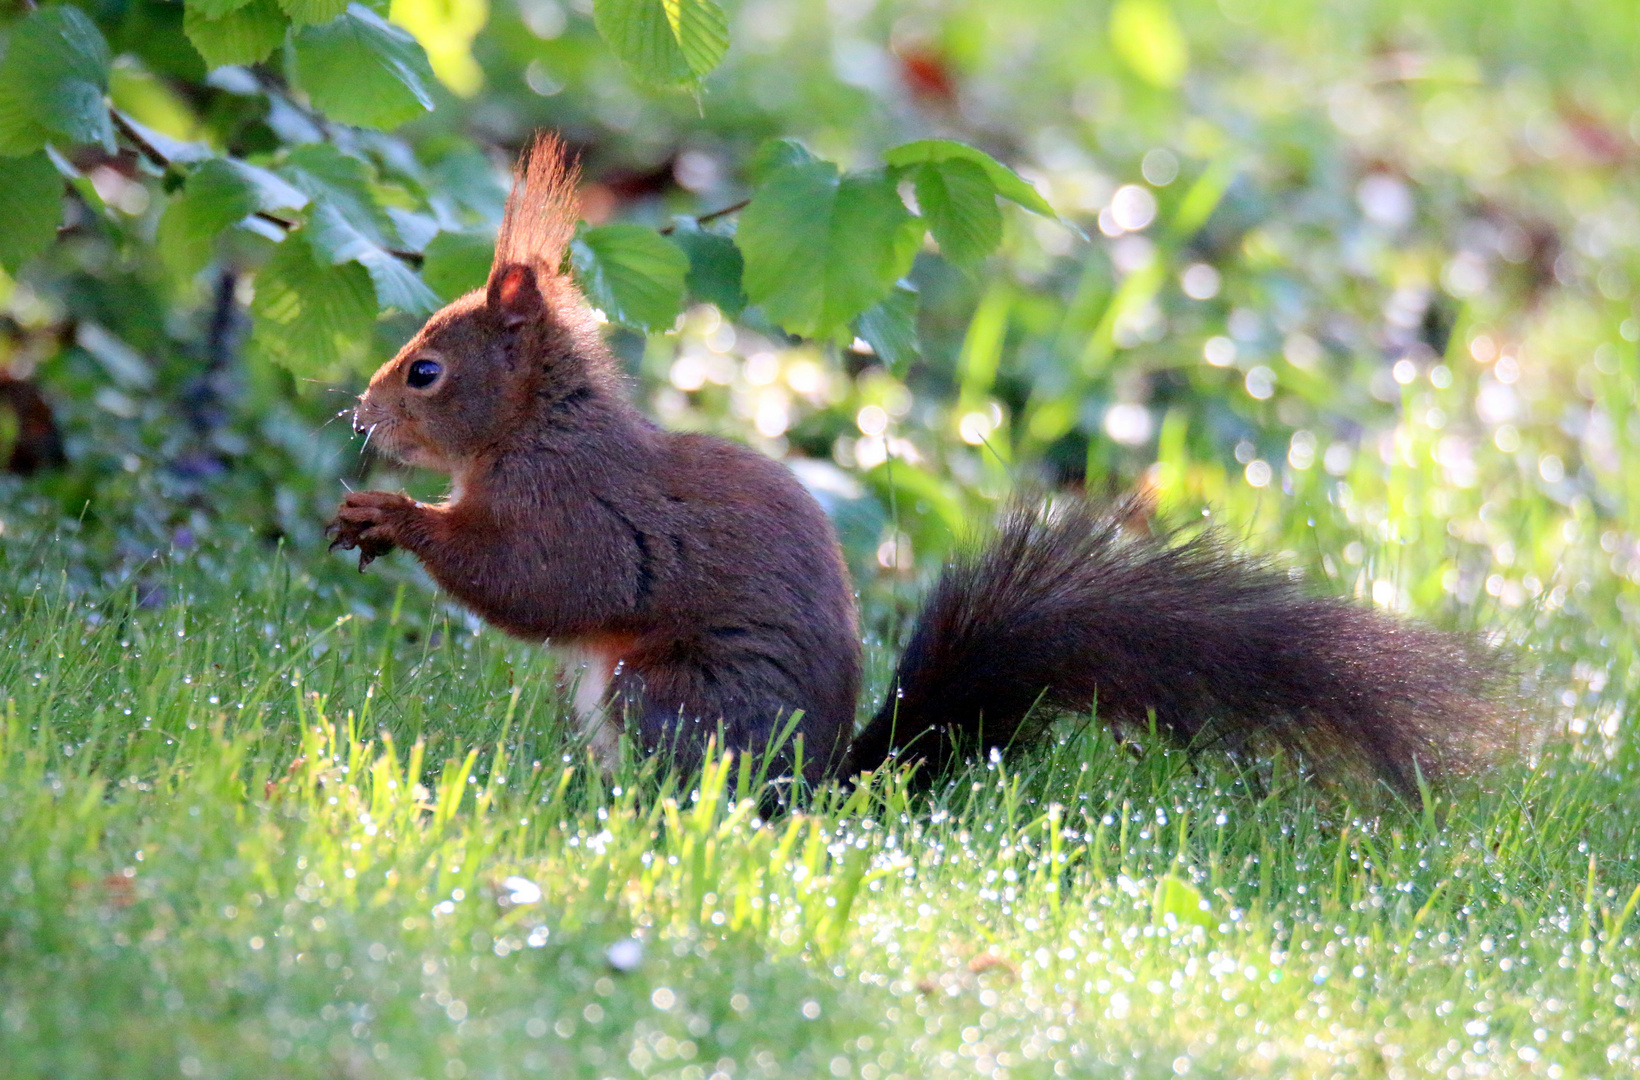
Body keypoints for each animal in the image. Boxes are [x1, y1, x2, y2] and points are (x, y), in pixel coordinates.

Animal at [326, 135, 1502, 793]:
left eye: (426, 370)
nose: (362, 414)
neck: (539, 428)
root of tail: (821, 793)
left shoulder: (582, 510)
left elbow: (544, 582)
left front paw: (393, 514)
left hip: (668, 697)